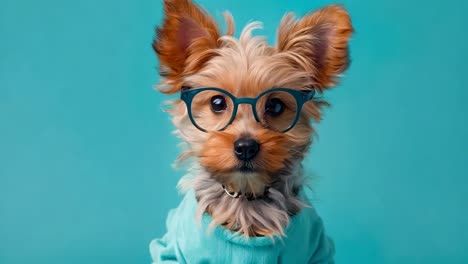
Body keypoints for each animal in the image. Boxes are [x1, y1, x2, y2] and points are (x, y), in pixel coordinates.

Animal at [149, 0, 352, 262]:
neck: (245, 197)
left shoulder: (318, 251)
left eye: (275, 106)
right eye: (217, 103)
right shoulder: (170, 251)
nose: (246, 147)